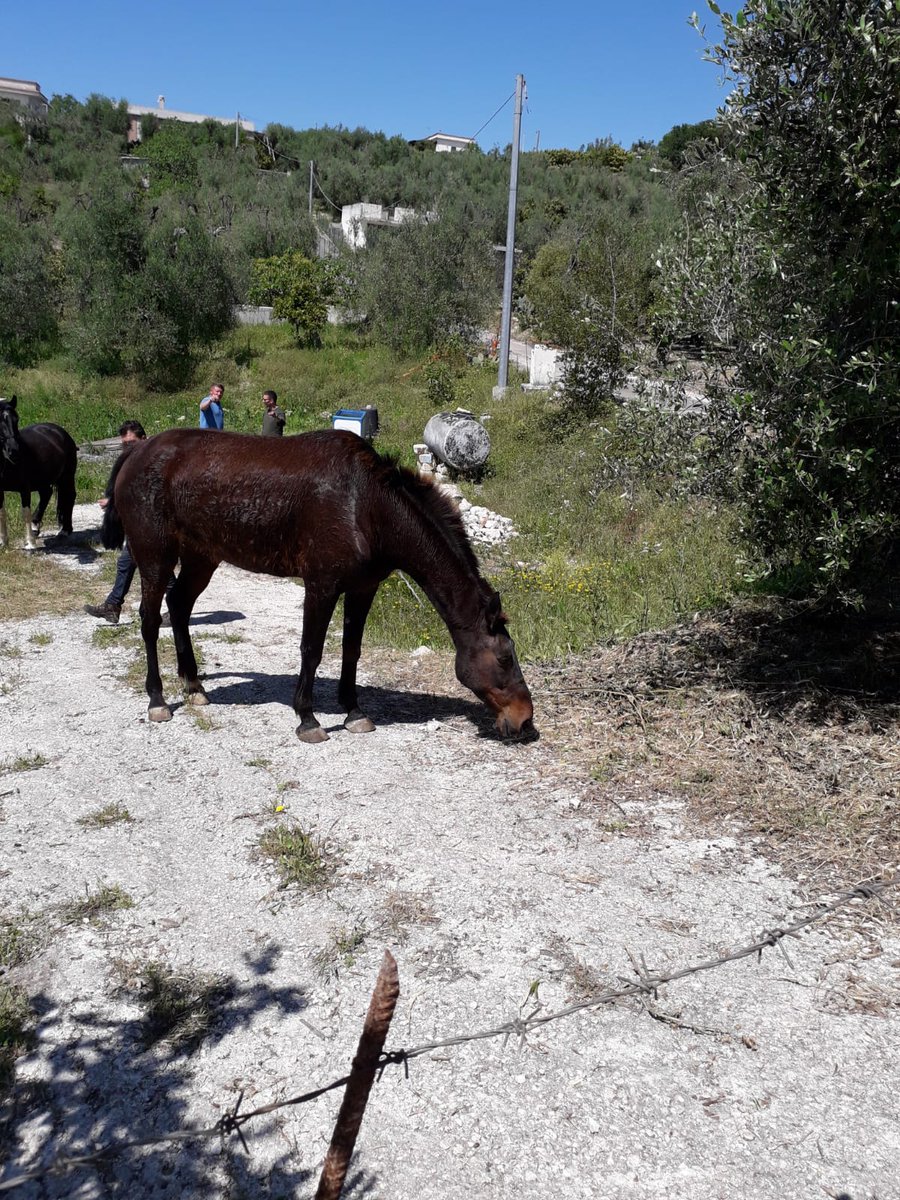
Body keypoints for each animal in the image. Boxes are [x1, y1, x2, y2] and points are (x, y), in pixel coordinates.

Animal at [0, 396, 78, 551]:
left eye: (16, 419)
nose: (14, 450)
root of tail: (59, 431)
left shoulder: (24, 488)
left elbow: (25, 513)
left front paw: (30, 544)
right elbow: (2, 514)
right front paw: (3, 543)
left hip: (67, 476)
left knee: (70, 496)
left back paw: (65, 530)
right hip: (44, 480)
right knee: (46, 494)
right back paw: (36, 526)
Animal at [101, 428, 535, 743]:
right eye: (504, 659)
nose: (525, 720)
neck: (365, 504)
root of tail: (137, 452)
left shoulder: (363, 588)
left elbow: (351, 650)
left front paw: (354, 711)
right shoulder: (321, 586)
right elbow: (311, 650)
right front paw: (307, 718)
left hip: (201, 558)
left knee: (178, 606)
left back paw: (193, 685)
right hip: (155, 559)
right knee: (150, 620)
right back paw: (157, 699)